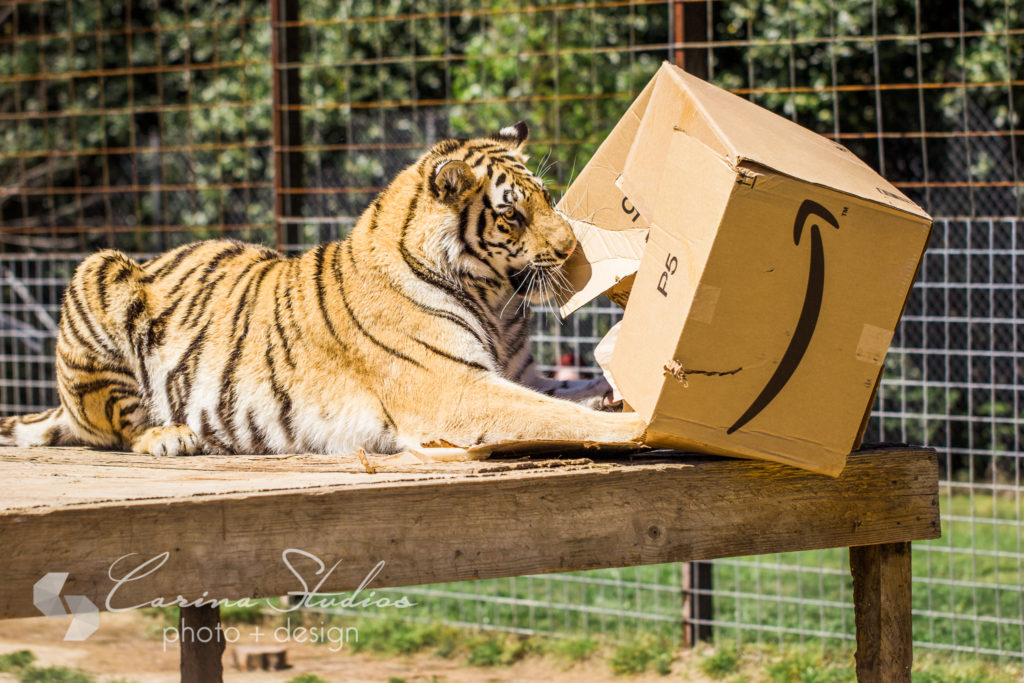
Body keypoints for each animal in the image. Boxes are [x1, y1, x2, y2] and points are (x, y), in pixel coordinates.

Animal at [0, 122, 647, 456]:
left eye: (545, 196)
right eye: (512, 215)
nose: (571, 249)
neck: (494, 301)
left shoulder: (517, 373)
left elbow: (568, 394)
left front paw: (619, 392)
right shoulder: (456, 389)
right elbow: (557, 417)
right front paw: (635, 425)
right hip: (97, 271)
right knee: (119, 427)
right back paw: (170, 436)